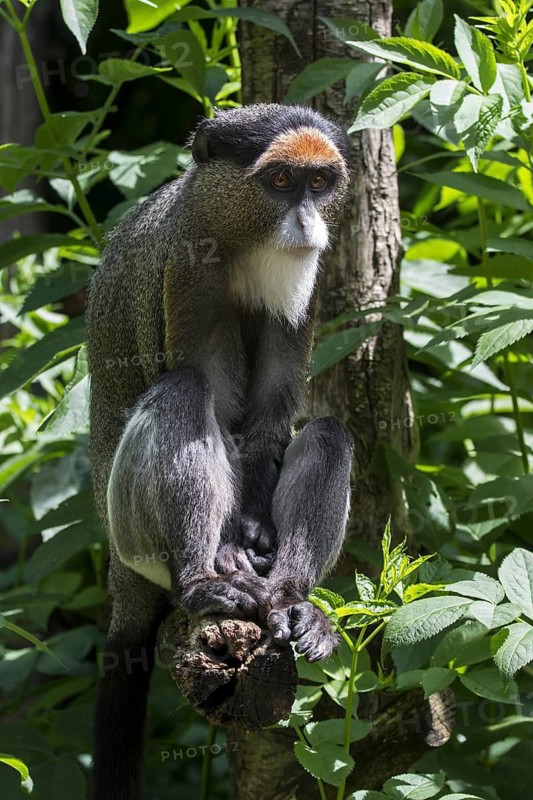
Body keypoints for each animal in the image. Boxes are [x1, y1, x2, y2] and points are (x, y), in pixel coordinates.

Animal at [86, 103, 354, 800]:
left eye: (319, 184)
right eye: (281, 182)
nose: (307, 223)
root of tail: (121, 581)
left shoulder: (307, 279)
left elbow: (269, 417)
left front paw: (258, 541)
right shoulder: (188, 265)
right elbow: (212, 393)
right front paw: (230, 551)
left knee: (329, 433)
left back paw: (292, 602)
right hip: (132, 533)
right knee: (183, 391)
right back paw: (204, 581)